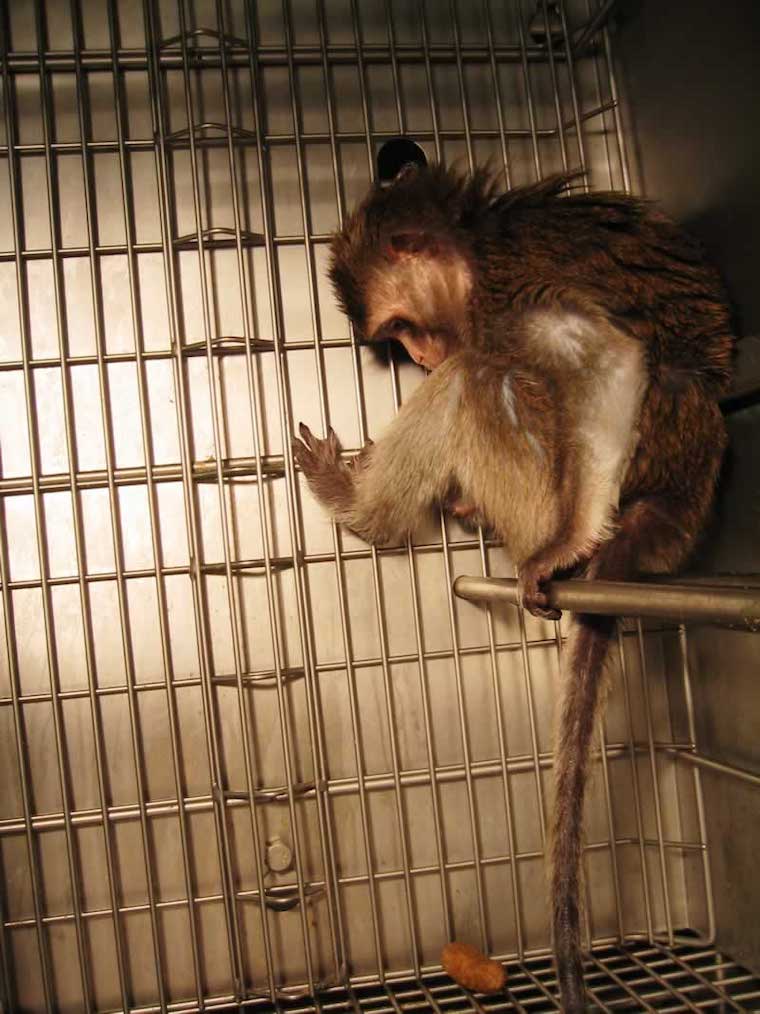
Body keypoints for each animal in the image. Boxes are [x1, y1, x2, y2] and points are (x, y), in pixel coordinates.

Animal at [294, 164, 734, 1011]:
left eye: (402, 327)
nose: (421, 353)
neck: (480, 245)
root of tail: (669, 508)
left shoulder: (515, 296)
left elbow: (610, 360)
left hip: (538, 484)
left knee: (481, 378)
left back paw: (366, 509)